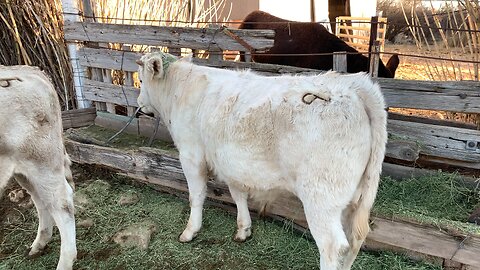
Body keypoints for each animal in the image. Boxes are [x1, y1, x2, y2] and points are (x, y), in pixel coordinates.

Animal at [0, 65, 76, 270]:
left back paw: (65, 262)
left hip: (42, 161)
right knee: (41, 200)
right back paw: (39, 244)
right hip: (24, 170)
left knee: (61, 203)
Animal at [135, 52, 386, 270]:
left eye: (141, 79)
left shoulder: (190, 154)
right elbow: (238, 195)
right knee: (353, 240)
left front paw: (190, 231)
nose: (138, 106)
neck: (179, 90)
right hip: (352, 198)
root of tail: (353, 86)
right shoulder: (232, 163)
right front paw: (243, 229)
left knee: (333, 246)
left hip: (321, 196)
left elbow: (195, 196)